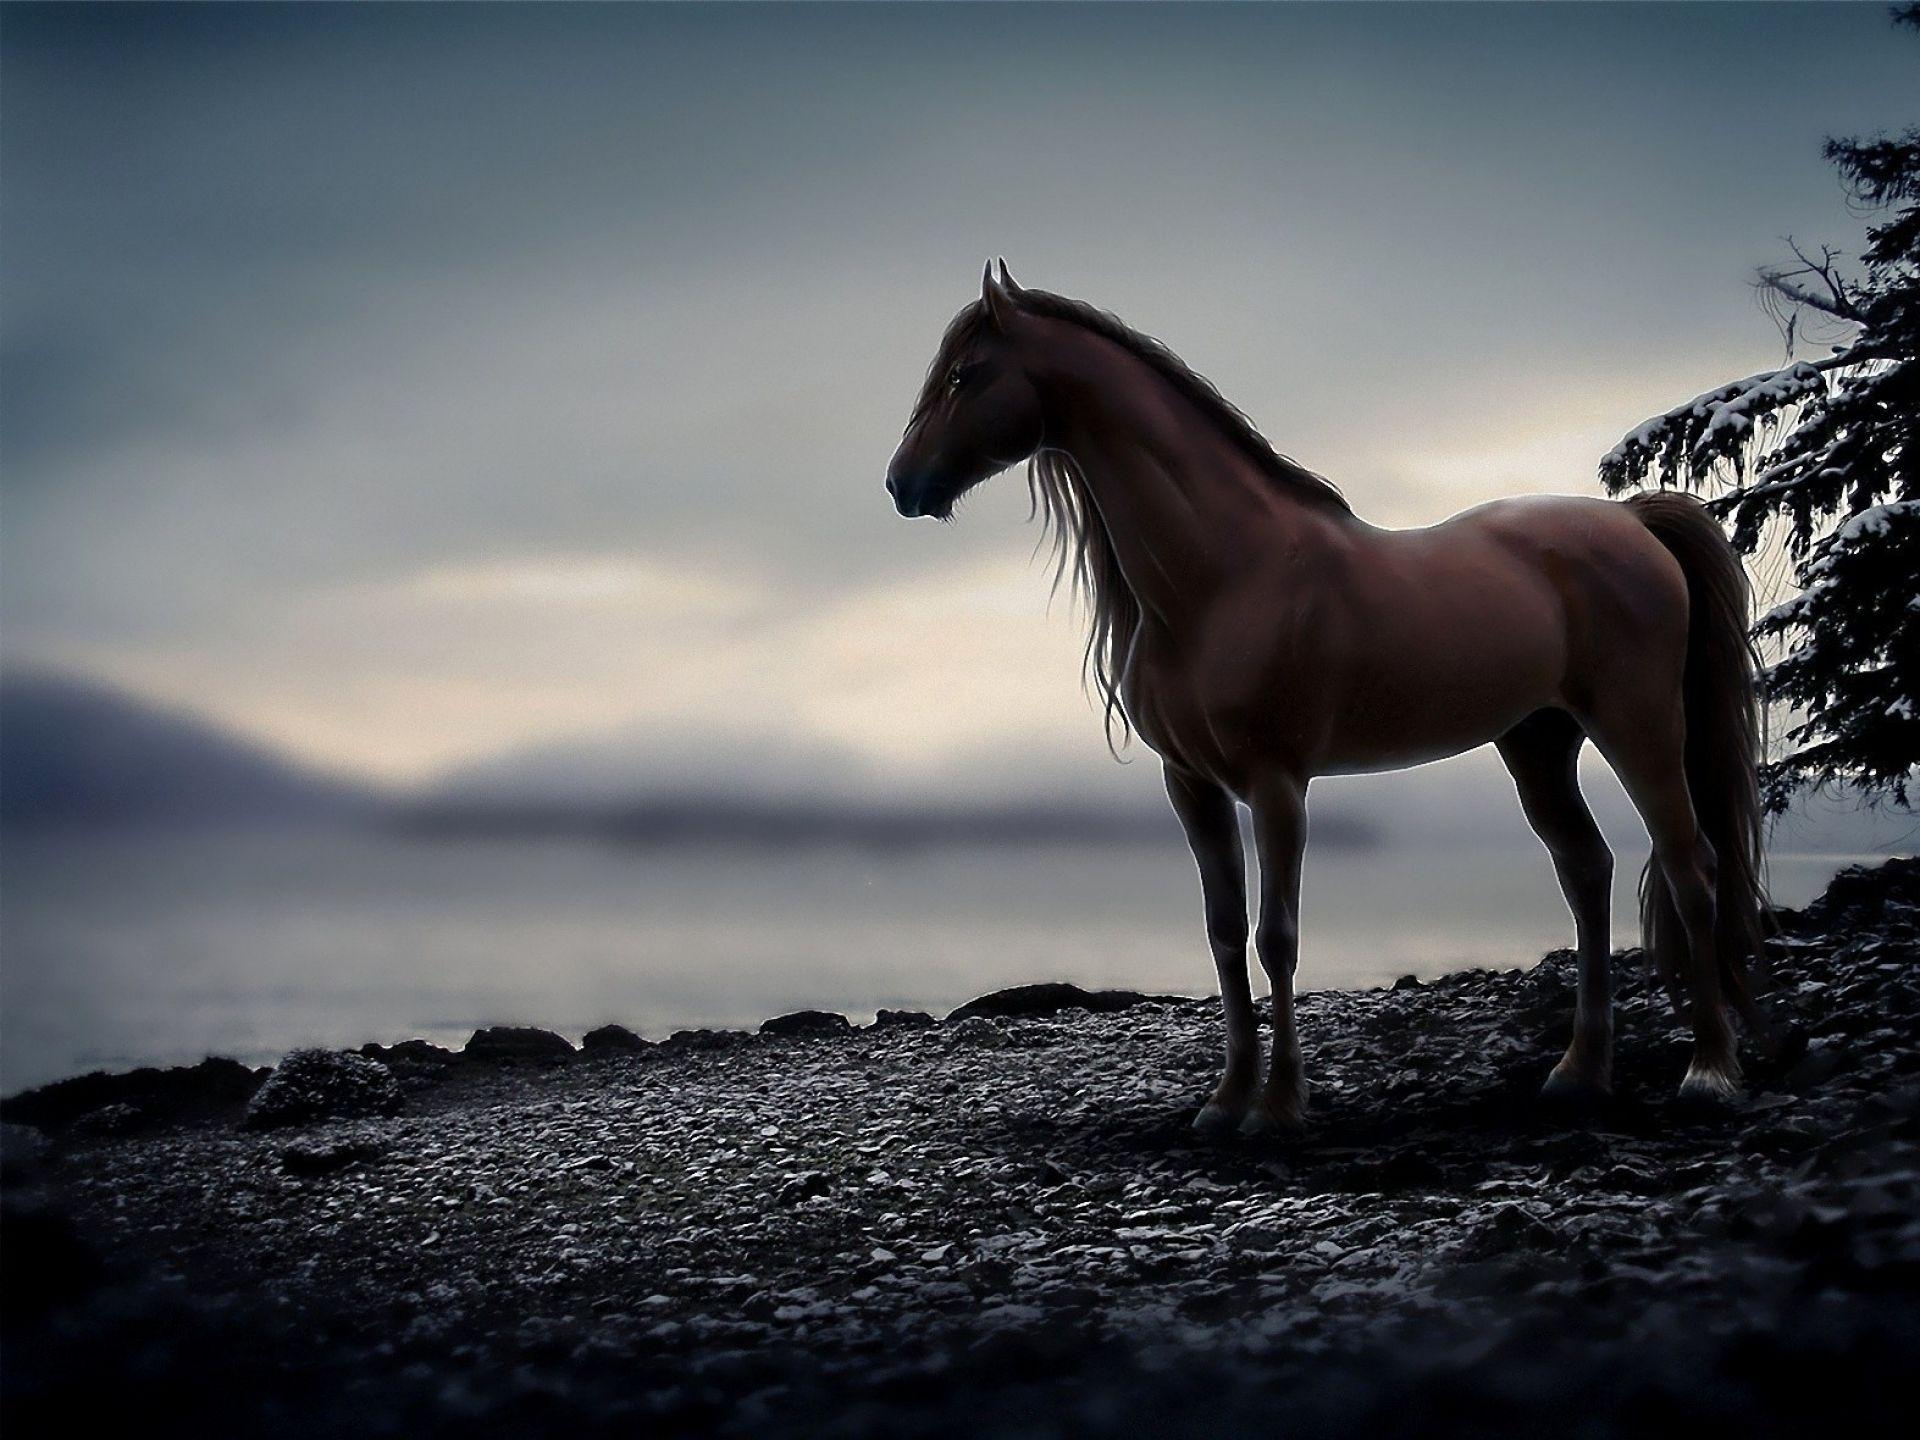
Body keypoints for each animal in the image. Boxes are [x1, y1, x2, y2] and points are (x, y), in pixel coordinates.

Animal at [885, 261, 1774, 1135]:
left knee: (1691, 866)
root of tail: (1634, 523)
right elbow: (1222, 933)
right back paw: (1579, 1074)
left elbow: (1276, 937)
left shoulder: (1278, 784)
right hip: (1537, 743)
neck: (1227, 574)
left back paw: (1708, 1071)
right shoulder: (1192, 786)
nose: (901, 483)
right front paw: (1225, 1100)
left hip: (1639, 725)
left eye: (965, 374)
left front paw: (1278, 1106)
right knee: (1587, 871)